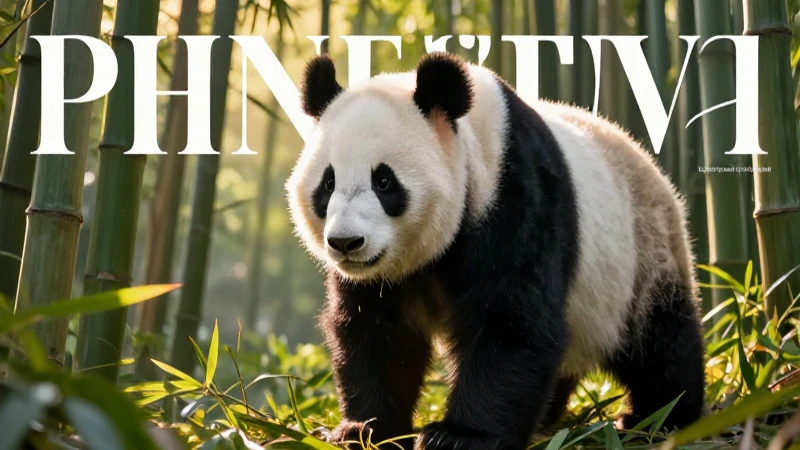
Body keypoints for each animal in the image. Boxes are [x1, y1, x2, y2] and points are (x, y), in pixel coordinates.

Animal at [286, 52, 705, 450]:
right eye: (327, 184)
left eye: (384, 181)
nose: (345, 242)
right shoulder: (377, 277)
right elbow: (378, 332)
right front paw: (363, 430)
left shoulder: (515, 199)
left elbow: (510, 322)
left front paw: (459, 436)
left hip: (641, 252)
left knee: (660, 344)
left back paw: (661, 416)